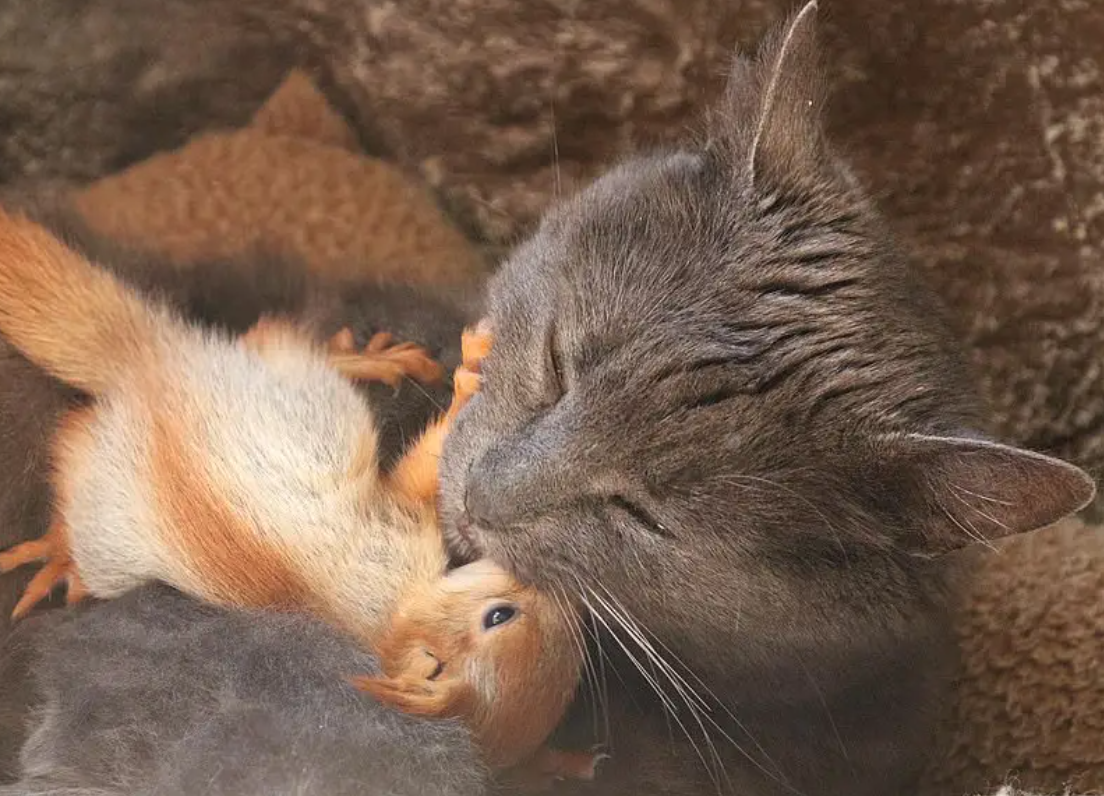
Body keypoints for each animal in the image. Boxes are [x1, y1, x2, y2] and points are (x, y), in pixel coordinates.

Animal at [0, 209, 599, 785]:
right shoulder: (400, 528)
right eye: (499, 615)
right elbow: (421, 470)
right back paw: (385, 361)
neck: (390, 621)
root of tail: (148, 366)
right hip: (301, 390)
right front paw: (465, 386)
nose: (562, 591)